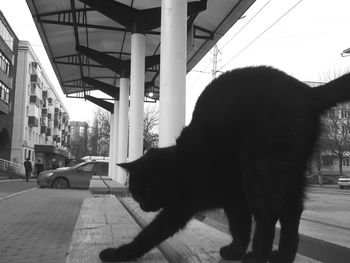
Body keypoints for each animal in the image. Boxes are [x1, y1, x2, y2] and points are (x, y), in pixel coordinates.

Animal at [99, 66, 350, 263]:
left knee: (268, 213)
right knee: (291, 212)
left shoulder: (183, 205)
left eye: (148, 190)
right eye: (137, 194)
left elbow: (152, 233)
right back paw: (282, 256)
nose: (143, 206)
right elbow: (240, 227)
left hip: (261, 171)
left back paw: (257, 256)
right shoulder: (234, 200)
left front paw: (119, 253)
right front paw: (235, 251)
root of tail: (307, 92)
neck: (182, 164)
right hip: (290, 174)